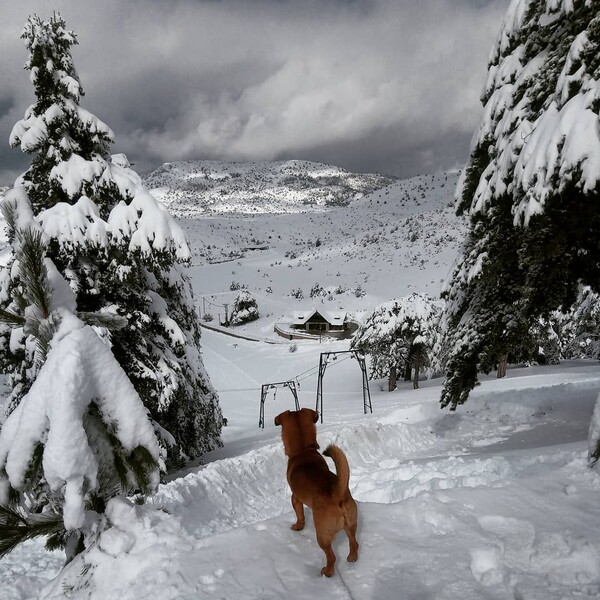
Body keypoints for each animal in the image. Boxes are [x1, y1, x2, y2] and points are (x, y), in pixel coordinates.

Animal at [274, 408, 358, 576]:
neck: (303, 450)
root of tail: (337, 494)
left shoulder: (295, 498)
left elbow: (299, 515)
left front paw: (298, 526)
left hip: (322, 535)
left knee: (332, 556)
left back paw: (327, 572)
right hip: (351, 525)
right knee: (354, 543)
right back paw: (352, 558)